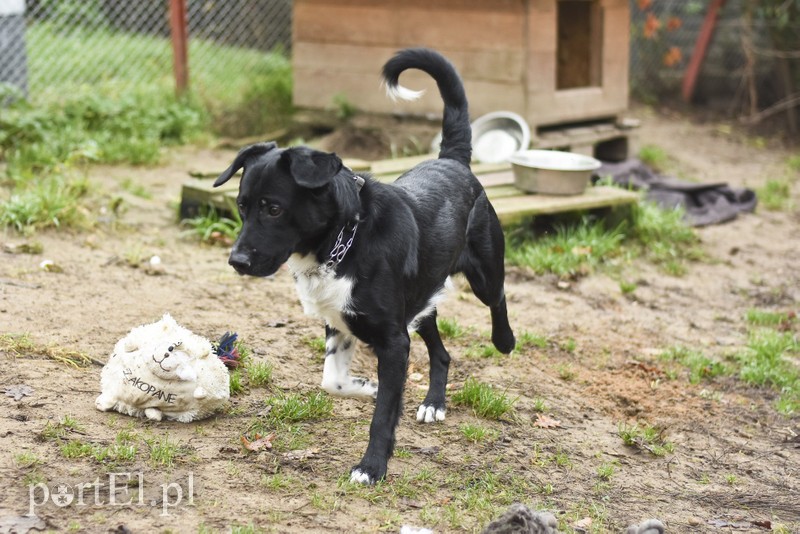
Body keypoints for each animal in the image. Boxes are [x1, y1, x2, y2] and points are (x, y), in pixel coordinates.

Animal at [214, 48, 512, 486]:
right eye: (241, 206)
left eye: (273, 209)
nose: (236, 261)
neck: (345, 239)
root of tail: (452, 162)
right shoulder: (342, 322)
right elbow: (333, 382)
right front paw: (366, 386)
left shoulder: (393, 340)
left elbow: (383, 415)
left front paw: (371, 467)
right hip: (421, 301)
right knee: (441, 354)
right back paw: (433, 403)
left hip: (483, 274)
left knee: (498, 297)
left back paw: (504, 341)